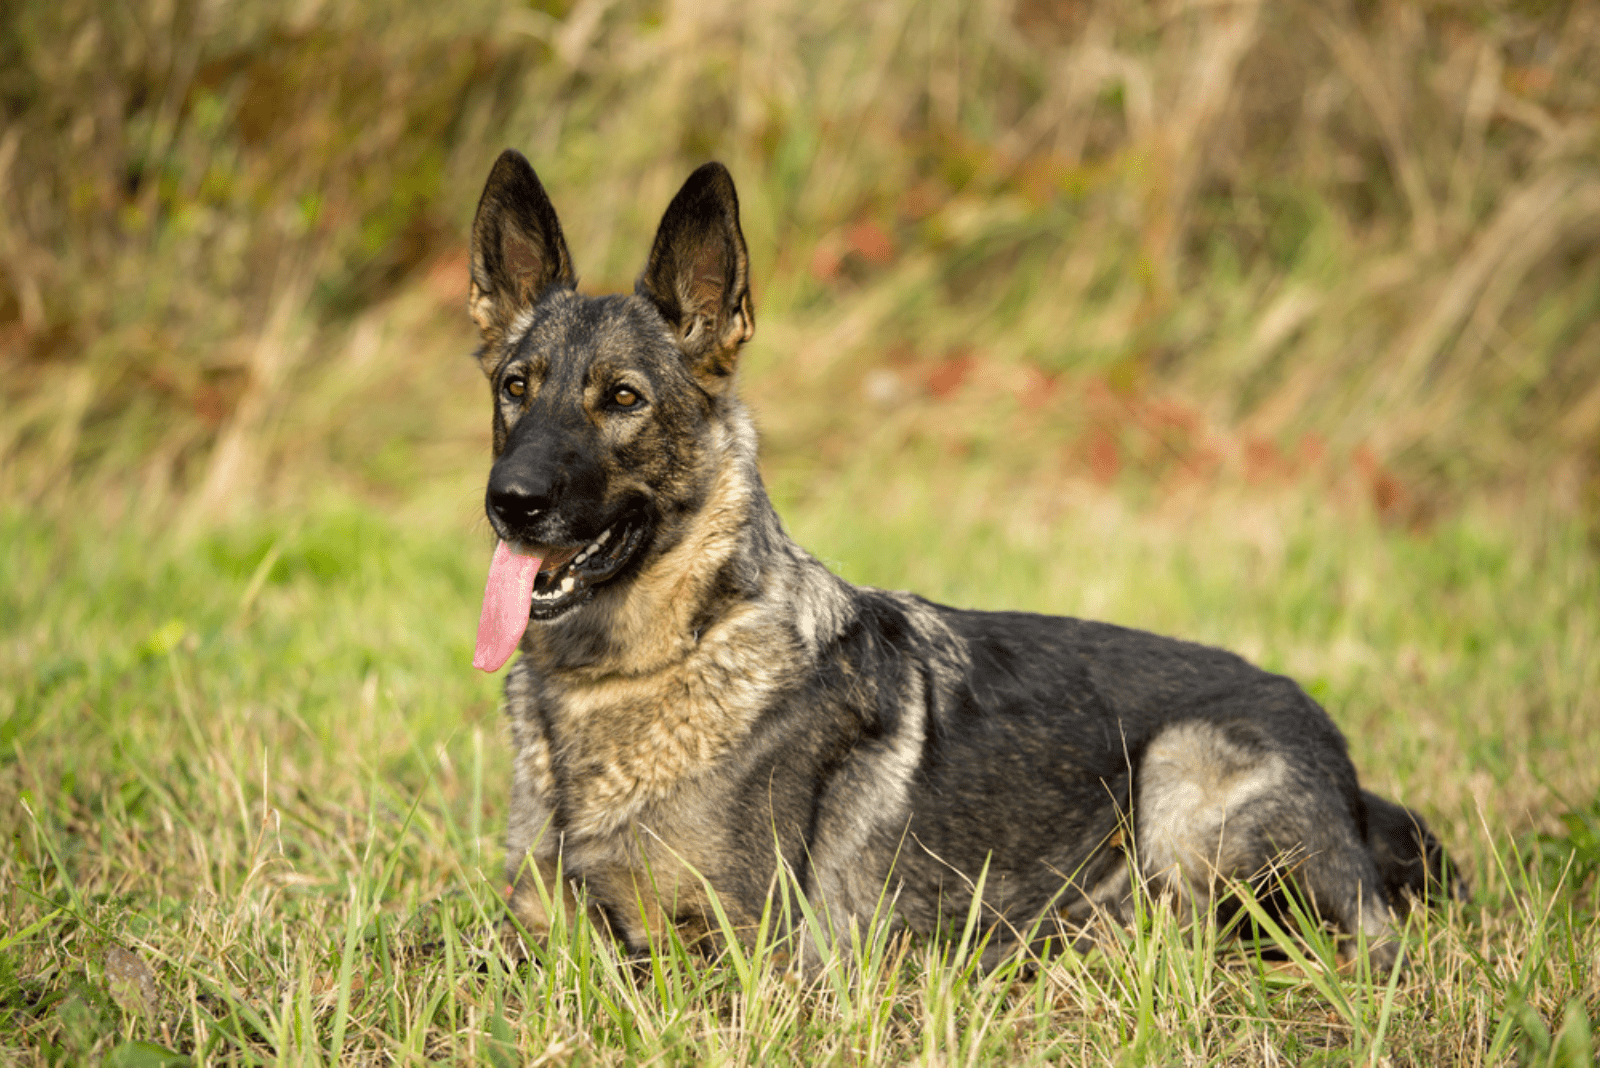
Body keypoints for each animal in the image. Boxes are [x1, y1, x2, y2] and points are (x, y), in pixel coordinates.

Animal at [467, 150, 1465, 978]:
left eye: (622, 400)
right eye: (515, 388)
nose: (509, 501)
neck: (641, 668)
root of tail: (1341, 760)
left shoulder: (742, 955)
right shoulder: (530, 917)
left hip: (1179, 776)